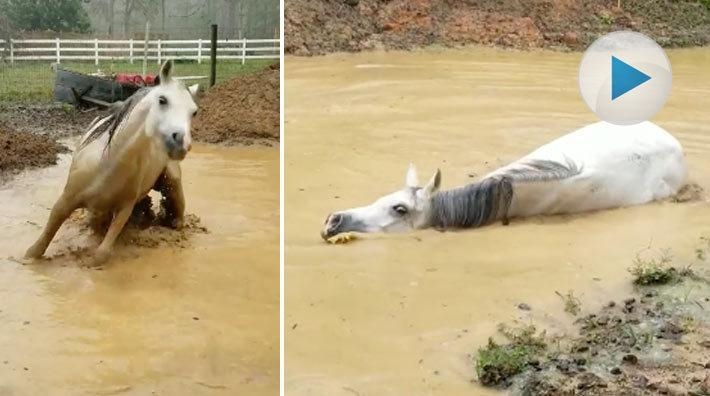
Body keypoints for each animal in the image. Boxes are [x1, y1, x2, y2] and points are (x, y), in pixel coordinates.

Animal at [26, 59, 199, 262]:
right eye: (162, 100)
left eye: (194, 112)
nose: (181, 143)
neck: (109, 163)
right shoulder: (67, 199)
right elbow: (42, 241)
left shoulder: (124, 208)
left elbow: (101, 254)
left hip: (172, 181)